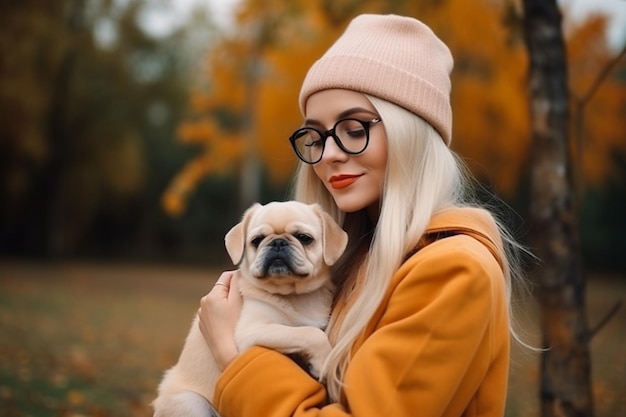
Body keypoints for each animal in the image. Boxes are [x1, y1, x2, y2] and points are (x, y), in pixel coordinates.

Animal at [151, 200, 346, 414]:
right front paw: (323, 361)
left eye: (304, 238)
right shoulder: (253, 330)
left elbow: (309, 331)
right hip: (190, 403)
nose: (278, 242)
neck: (293, 294)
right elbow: (309, 333)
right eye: (256, 240)